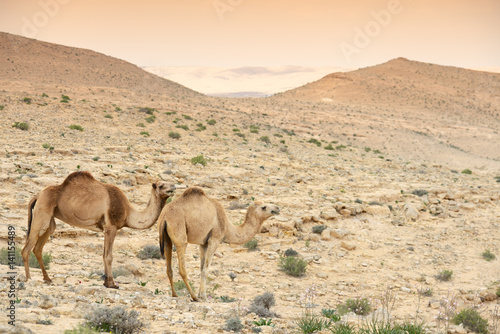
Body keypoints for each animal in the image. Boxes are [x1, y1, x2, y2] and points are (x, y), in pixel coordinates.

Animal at [22, 171, 177, 288]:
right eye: (161, 185)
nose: (174, 187)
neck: (129, 213)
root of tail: (37, 196)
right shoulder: (111, 227)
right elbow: (108, 256)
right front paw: (112, 283)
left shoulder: (106, 228)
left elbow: (103, 254)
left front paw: (106, 282)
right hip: (42, 213)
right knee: (27, 248)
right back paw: (28, 278)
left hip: (50, 220)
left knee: (38, 248)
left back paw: (47, 279)